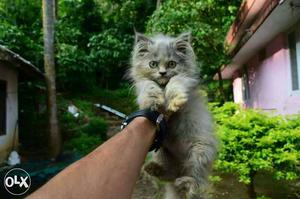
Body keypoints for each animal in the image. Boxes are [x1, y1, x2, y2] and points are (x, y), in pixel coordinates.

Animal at [127, 32, 217, 199]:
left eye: (171, 64)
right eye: (153, 64)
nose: (162, 73)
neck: (162, 87)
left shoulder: (184, 79)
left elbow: (175, 81)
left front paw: (175, 101)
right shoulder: (143, 83)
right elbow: (148, 85)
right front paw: (153, 99)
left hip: (200, 152)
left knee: (196, 180)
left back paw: (186, 183)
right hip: (160, 150)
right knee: (170, 175)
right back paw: (154, 169)